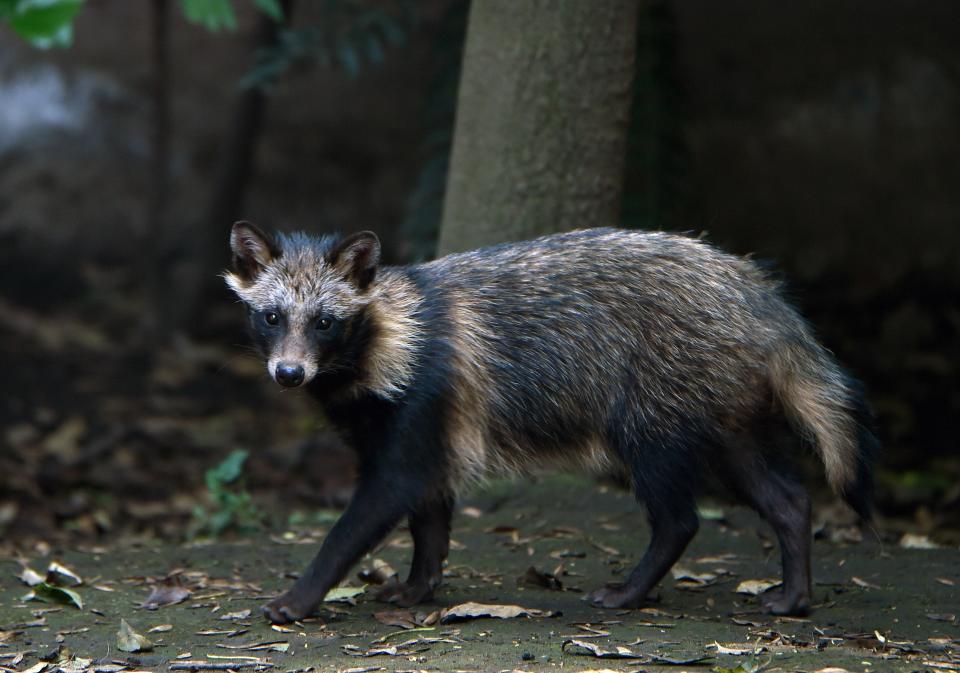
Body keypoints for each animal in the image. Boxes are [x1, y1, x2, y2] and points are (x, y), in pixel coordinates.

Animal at [227, 223, 876, 624]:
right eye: (272, 316)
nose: (289, 373)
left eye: (325, 322)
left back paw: (634, 588)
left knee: (679, 517)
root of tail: (753, 291)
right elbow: (430, 518)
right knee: (787, 497)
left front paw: (301, 594)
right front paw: (419, 583)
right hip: (721, 414)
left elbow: (366, 516)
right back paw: (795, 590)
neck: (388, 335)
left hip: (653, 410)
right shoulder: (418, 430)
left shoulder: (421, 408)